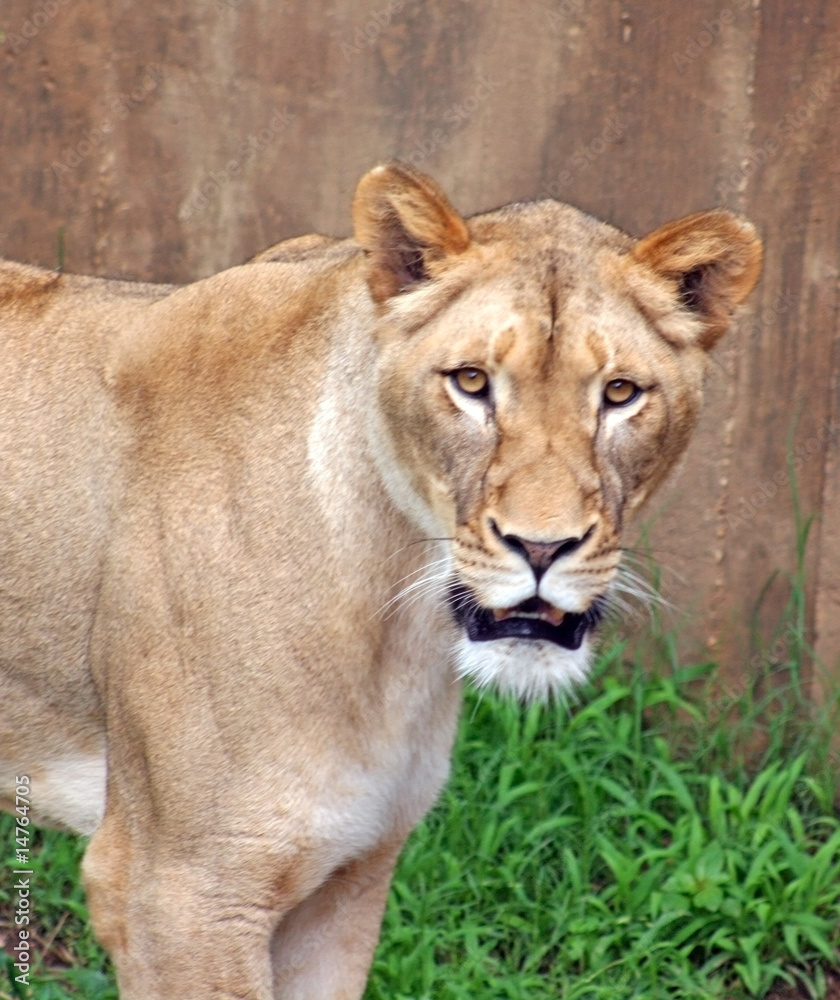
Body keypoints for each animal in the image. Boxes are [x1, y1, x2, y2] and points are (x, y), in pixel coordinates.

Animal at [0, 163, 760, 999]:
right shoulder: (174, 892)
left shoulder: (349, 876)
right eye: (471, 382)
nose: (542, 546)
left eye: (621, 393)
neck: (398, 631)